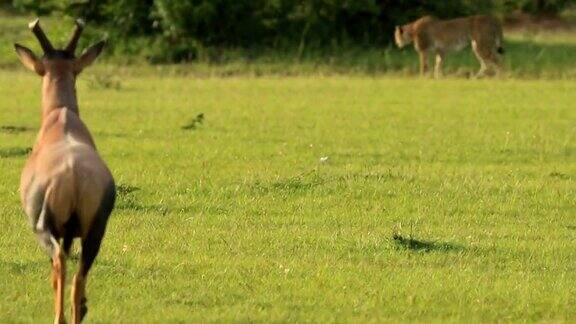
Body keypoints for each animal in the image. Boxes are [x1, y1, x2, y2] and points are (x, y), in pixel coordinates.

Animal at [15, 19, 115, 322]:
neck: (60, 117)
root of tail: (73, 176)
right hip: (95, 230)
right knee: (80, 273)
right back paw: (79, 310)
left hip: (43, 227)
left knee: (59, 261)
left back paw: (59, 317)